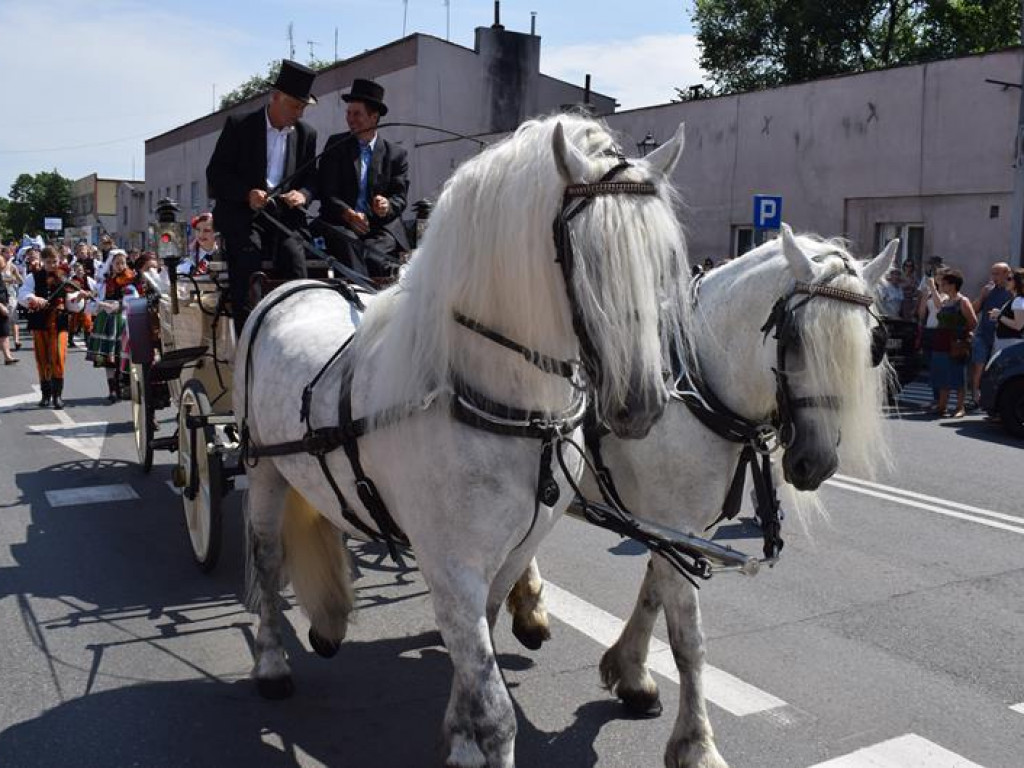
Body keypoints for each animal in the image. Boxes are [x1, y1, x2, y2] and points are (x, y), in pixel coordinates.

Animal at [235, 114, 692, 768]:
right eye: (586, 257)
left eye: (666, 261)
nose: (641, 403)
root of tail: (294, 285)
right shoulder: (451, 562)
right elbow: (496, 709)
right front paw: (480, 739)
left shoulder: (509, 554)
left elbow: (480, 651)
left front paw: (459, 736)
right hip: (265, 469)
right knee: (269, 562)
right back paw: (273, 662)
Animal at [505, 228, 897, 768]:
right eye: (795, 337)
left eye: (872, 346)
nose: (814, 463)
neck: (692, 387)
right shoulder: (675, 526)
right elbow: (688, 640)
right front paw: (696, 744)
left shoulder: (679, 529)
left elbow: (653, 596)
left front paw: (632, 674)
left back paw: (528, 608)